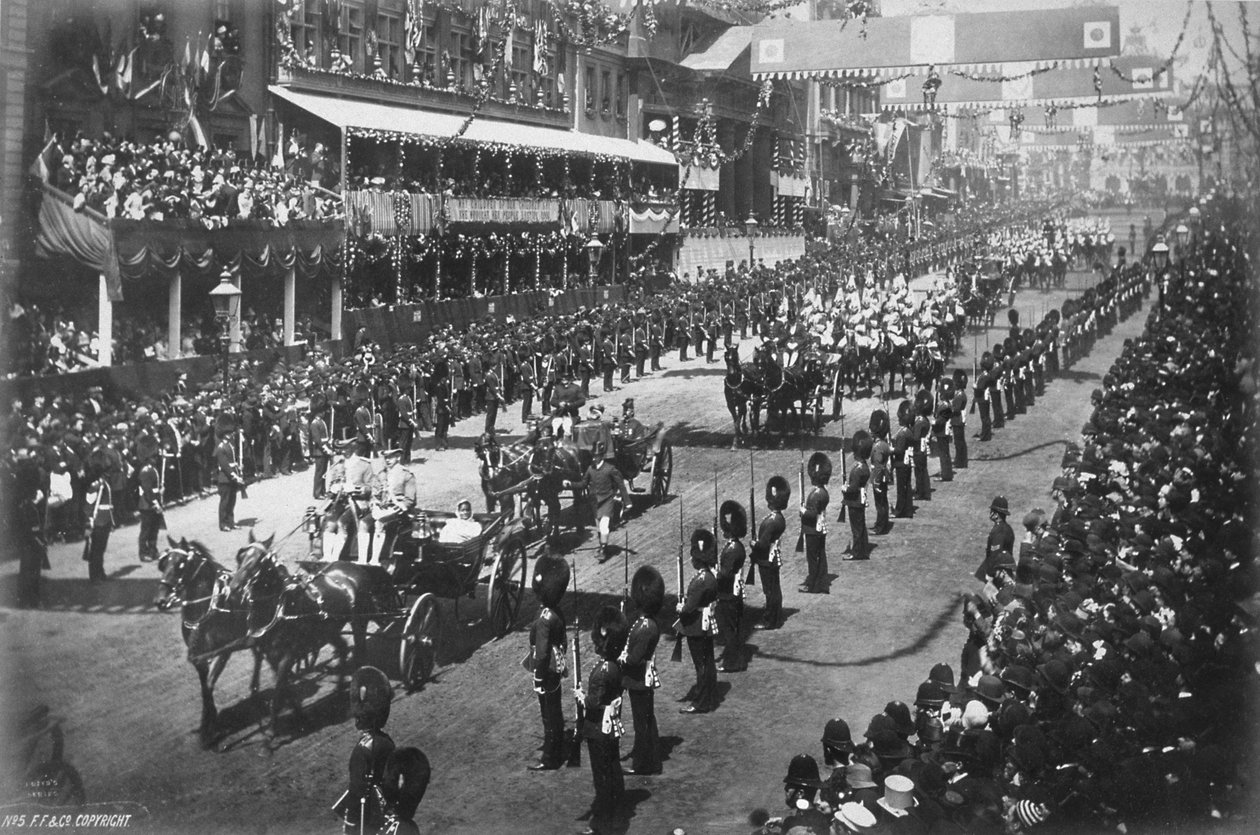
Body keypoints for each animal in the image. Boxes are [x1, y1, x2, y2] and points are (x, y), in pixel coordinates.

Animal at [156, 541, 262, 750]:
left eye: (181, 564)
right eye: (163, 564)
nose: (160, 601)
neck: (206, 609)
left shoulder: (223, 652)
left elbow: (209, 684)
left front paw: (209, 730)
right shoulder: (198, 658)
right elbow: (205, 687)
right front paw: (211, 726)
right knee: (258, 653)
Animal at [229, 531, 395, 740]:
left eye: (260, 561)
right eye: (241, 556)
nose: (234, 587)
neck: (281, 608)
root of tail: (354, 567)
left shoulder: (289, 654)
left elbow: (278, 691)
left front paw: (272, 731)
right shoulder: (271, 656)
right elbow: (285, 688)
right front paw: (300, 715)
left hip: (358, 622)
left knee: (359, 652)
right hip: (329, 629)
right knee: (342, 648)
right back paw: (338, 690)